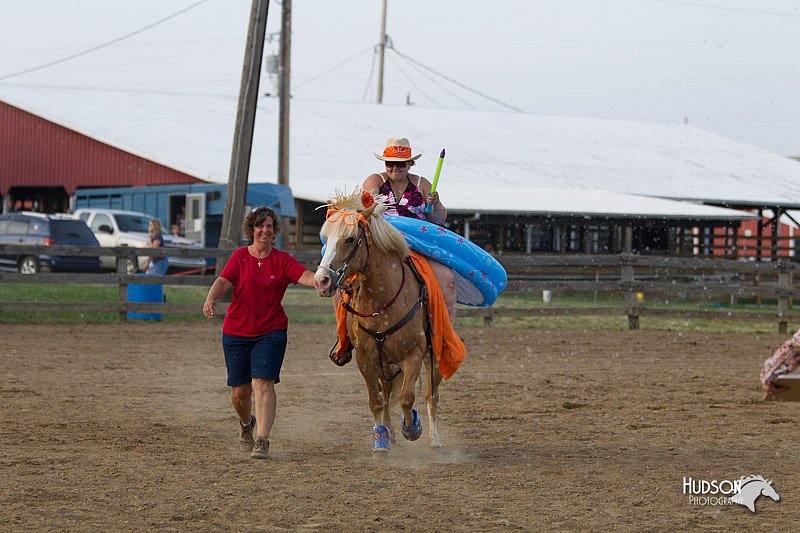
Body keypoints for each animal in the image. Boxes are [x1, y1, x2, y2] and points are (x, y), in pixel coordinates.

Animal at [314, 189, 444, 450]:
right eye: (326, 236)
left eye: (350, 239)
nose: (321, 280)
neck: (383, 301)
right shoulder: (365, 359)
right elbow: (376, 401)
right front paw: (381, 440)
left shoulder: (413, 355)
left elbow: (407, 398)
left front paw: (412, 428)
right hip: (385, 363)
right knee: (386, 393)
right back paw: (390, 433)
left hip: (430, 357)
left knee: (430, 396)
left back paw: (434, 439)